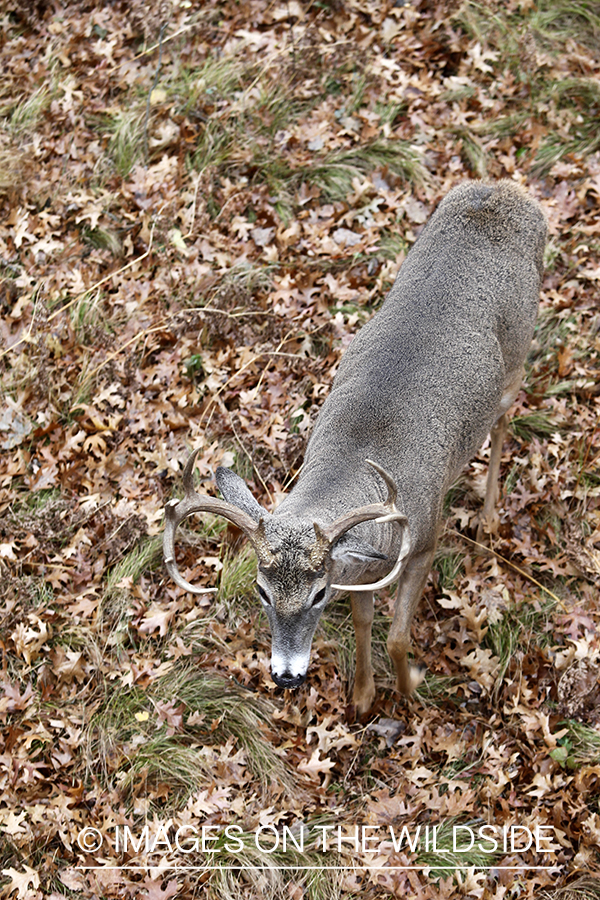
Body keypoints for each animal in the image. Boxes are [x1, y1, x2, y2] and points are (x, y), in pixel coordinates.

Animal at [162, 181, 548, 716]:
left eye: (319, 594)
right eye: (261, 589)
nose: (285, 677)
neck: (349, 466)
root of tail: (508, 190)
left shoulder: (425, 540)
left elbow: (399, 637)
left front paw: (410, 690)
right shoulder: (363, 567)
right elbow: (366, 623)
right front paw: (364, 698)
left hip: (516, 355)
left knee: (506, 418)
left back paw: (490, 515)